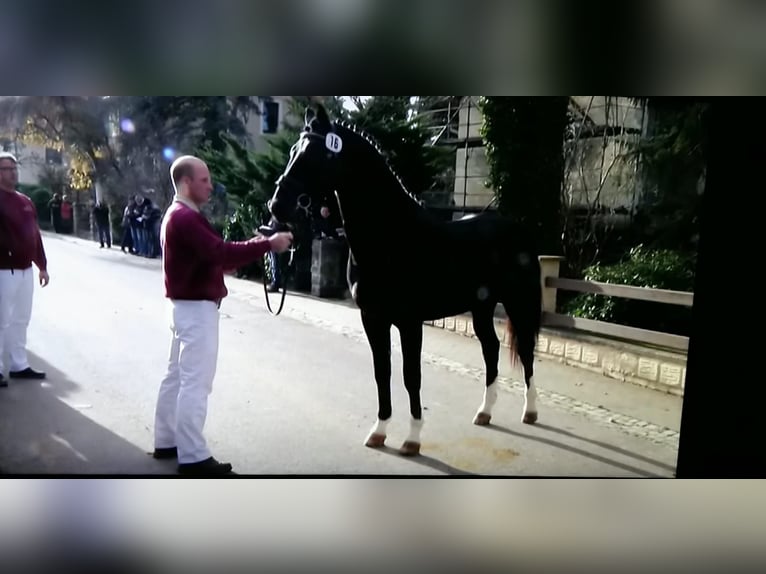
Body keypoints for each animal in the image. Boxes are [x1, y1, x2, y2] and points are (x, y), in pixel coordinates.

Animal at [270, 104, 544, 460]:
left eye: (319, 154)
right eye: (293, 151)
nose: (277, 205)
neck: (392, 238)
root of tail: (518, 230)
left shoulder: (410, 322)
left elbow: (411, 376)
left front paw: (412, 439)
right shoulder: (373, 319)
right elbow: (382, 373)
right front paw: (379, 431)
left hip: (518, 303)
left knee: (525, 351)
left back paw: (530, 412)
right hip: (481, 307)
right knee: (492, 349)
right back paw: (484, 412)